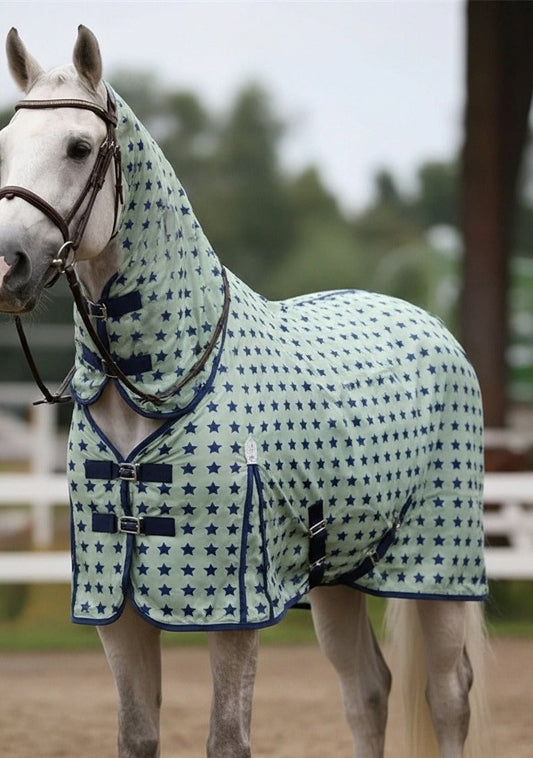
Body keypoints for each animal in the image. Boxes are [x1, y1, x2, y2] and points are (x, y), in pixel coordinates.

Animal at [0, 26, 488, 758]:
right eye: (6, 143)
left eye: (78, 147)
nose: (8, 264)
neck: (157, 385)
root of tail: (429, 323)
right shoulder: (116, 609)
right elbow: (137, 735)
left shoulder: (234, 611)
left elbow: (227, 739)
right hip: (336, 577)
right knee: (367, 691)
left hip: (440, 572)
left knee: (448, 696)